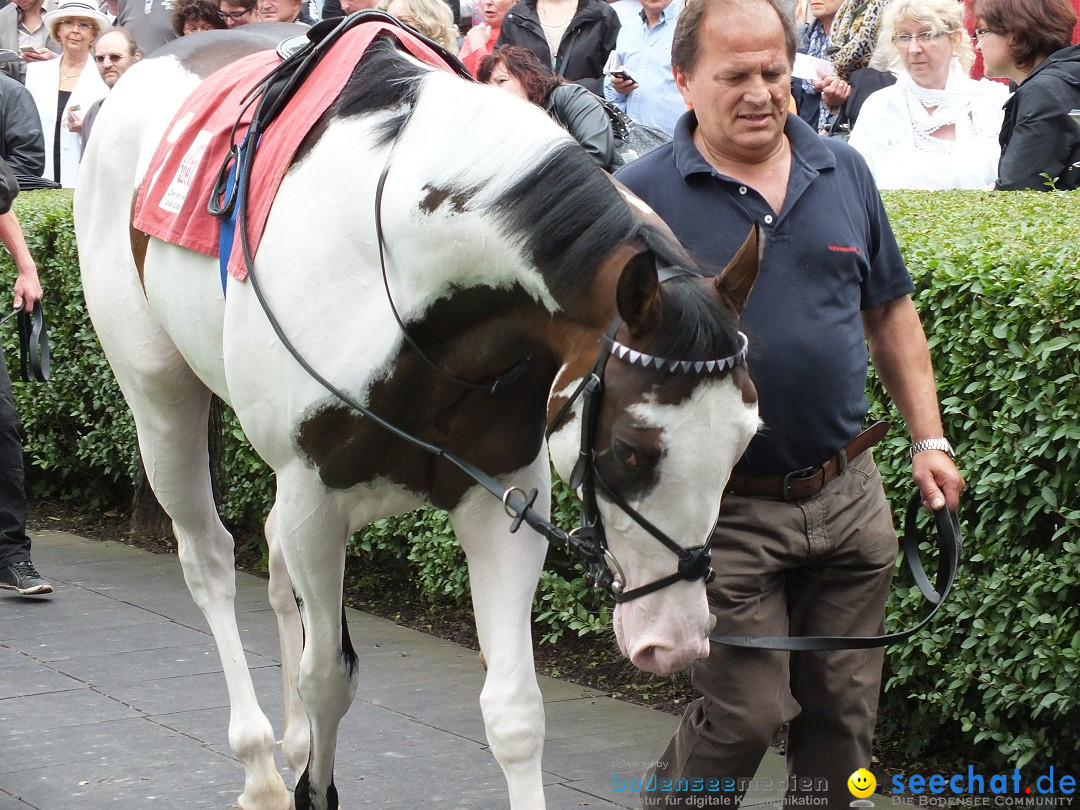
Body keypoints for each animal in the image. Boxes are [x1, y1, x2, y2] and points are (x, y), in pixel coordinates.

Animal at [71, 17, 760, 810]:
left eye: (745, 445)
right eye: (629, 450)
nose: (677, 641)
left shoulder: (502, 492)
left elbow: (514, 710)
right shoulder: (316, 495)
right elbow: (328, 677)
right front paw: (309, 784)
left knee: (269, 551)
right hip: (158, 394)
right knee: (210, 557)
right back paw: (260, 765)